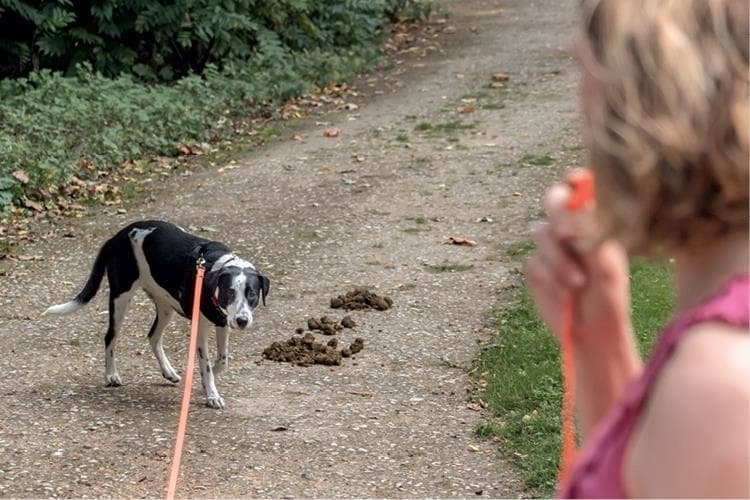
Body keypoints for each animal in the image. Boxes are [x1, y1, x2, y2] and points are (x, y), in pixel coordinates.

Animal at [43, 221, 270, 408]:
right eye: (229, 292)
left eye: (251, 294)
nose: (242, 321)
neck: (213, 268)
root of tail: (116, 237)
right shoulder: (201, 326)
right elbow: (205, 365)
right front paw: (211, 393)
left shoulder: (221, 321)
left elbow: (222, 360)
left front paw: (207, 380)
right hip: (120, 298)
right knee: (110, 337)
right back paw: (111, 375)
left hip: (165, 306)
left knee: (153, 336)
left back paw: (168, 372)